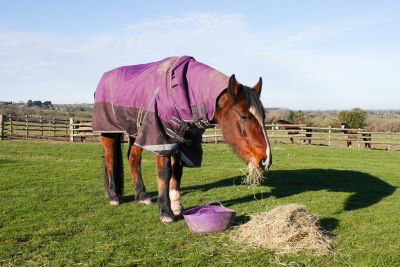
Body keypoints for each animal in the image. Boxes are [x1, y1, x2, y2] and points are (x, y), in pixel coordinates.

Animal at [91, 56, 272, 224]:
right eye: (244, 116)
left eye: (264, 116)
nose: (265, 159)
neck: (178, 92)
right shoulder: (161, 137)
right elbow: (164, 172)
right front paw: (166, 212)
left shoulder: (182, 140)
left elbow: (177, 171)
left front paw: (177, 205)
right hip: (109, 132)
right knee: (110, 160)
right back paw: (113, 196)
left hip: (135, 131)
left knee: (133, 159)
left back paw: (141, 196)